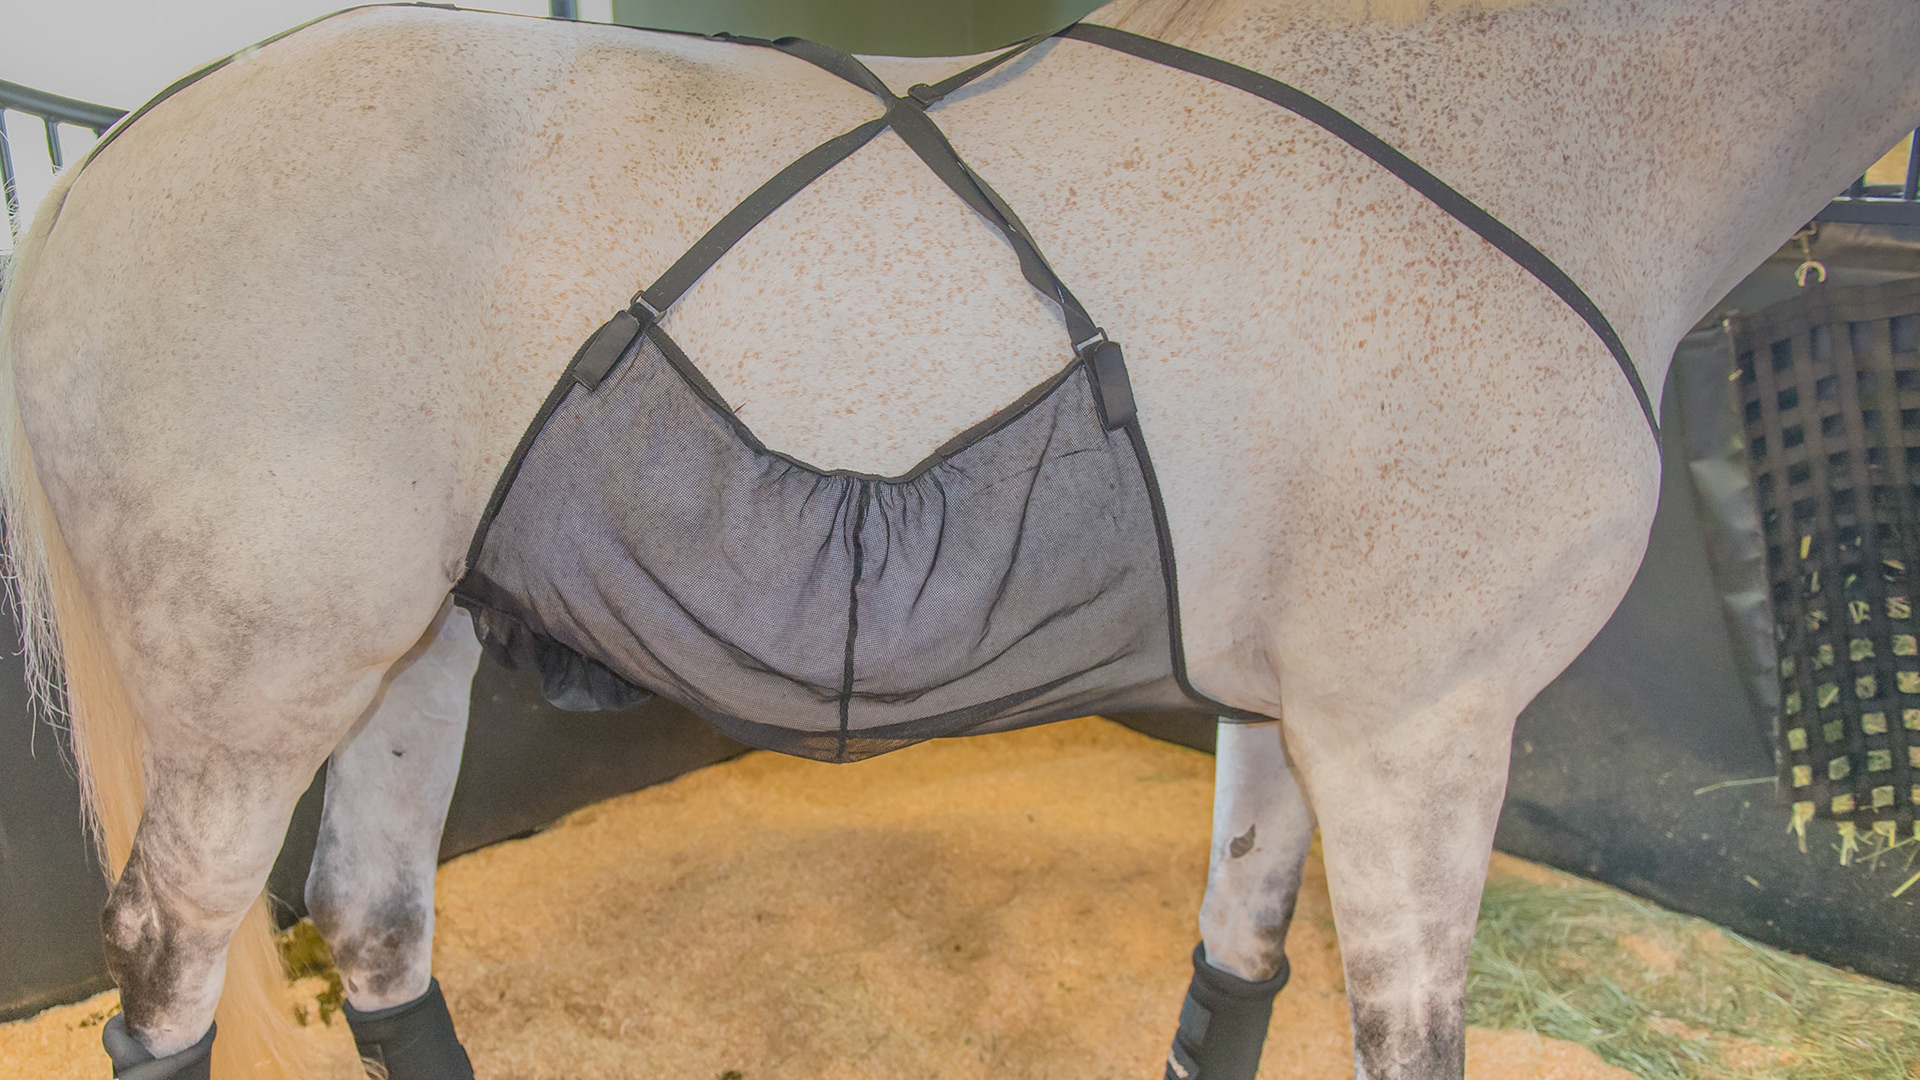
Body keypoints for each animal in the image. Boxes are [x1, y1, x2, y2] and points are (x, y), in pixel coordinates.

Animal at [1, 0, 1914, 1076]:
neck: (1472, 133)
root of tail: (112, 159)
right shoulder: (1418, 731)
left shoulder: (1298, 717)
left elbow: (1234, 977)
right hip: (260, 687)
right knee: (171, 974)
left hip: (416, 650)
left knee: (379, 934)